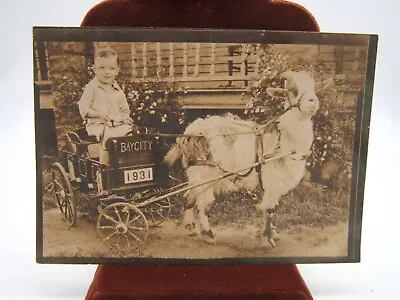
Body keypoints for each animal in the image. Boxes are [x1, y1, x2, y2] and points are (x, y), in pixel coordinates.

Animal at [164, 71, 330, 247]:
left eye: (314, 88)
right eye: (293, 90)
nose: (312, 101)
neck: (283, 140)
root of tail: (189, 132)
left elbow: (272, 209)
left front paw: (272, 234)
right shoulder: (272, 181)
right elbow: (270, 209)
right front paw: (267, 239)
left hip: (196, 174)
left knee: (189, 197)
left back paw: (191, 227)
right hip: (206, 173)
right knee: (202, 204)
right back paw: (208, 234)